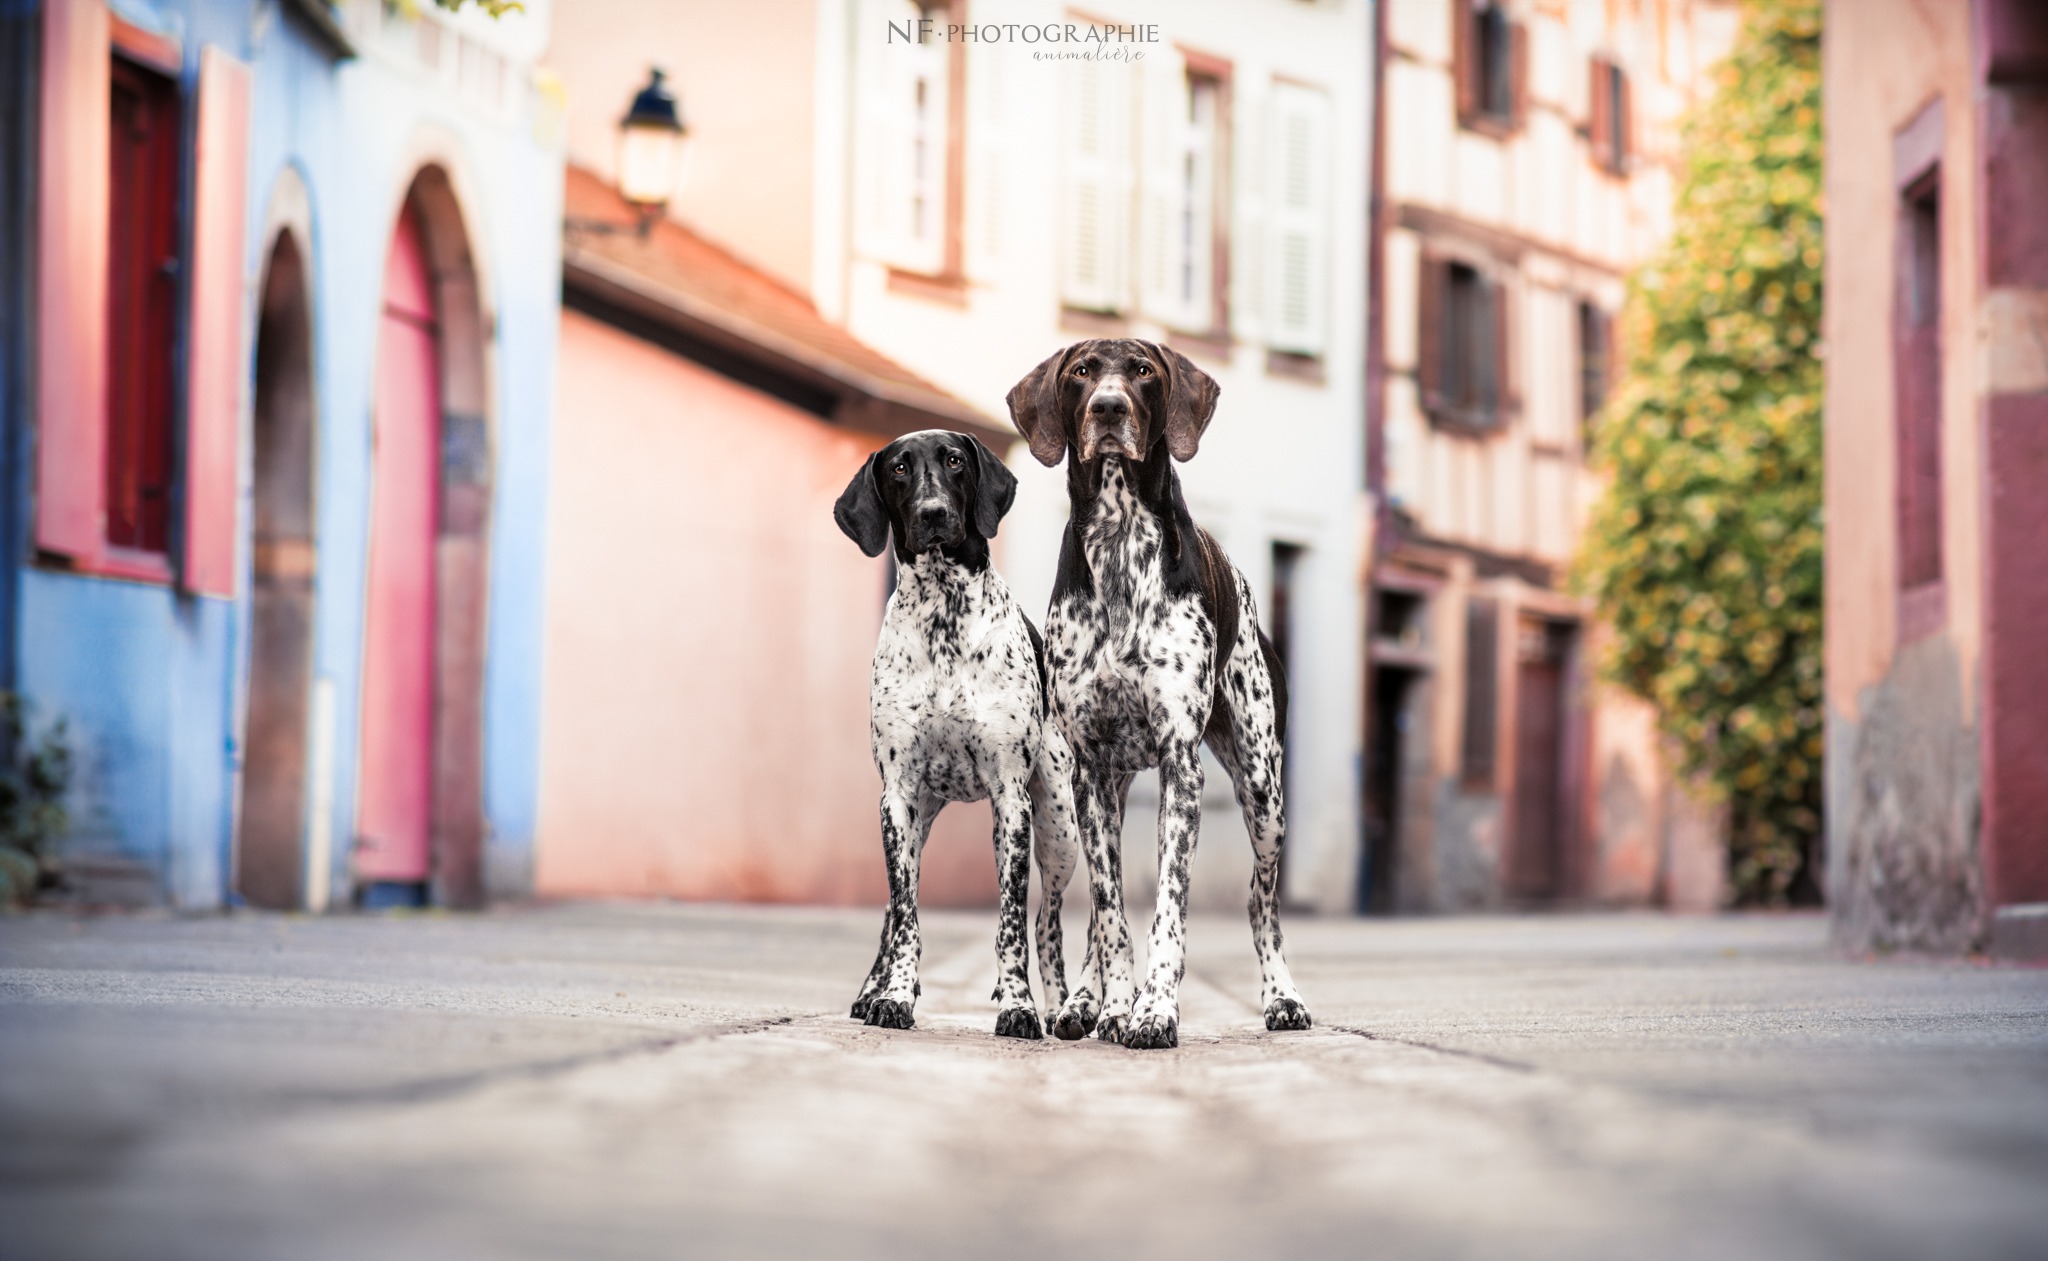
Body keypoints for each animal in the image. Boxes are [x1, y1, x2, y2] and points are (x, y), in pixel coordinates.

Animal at [833, 429, 1080, 1039]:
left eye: (954, 461)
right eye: (899, 468)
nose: (933, 513)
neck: (943, 618)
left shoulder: (1011, 801)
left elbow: (1011, 924)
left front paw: (1018, 1007)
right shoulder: (897, 799)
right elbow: (905, 918)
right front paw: (894, 996)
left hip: (1060, 826)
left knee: (1047, 922)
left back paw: (1061, 1008)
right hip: (917, 822)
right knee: (892, 913)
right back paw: (870, 990)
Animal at [1005, 340, 1311, 1050]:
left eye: (1143, 371)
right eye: (1081, 373)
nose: (1109, 408)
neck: (1120, 542)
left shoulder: (1181, 765)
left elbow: (1168, 909)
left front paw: (1155, 1010)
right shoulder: (1090, 770)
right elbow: (1112, 913)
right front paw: (1115, 1007)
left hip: (1264, 791)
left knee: (1261, 904)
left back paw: (1281, 998)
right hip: (1106, 795)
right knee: (1100, 912)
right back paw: (1085, 1003)